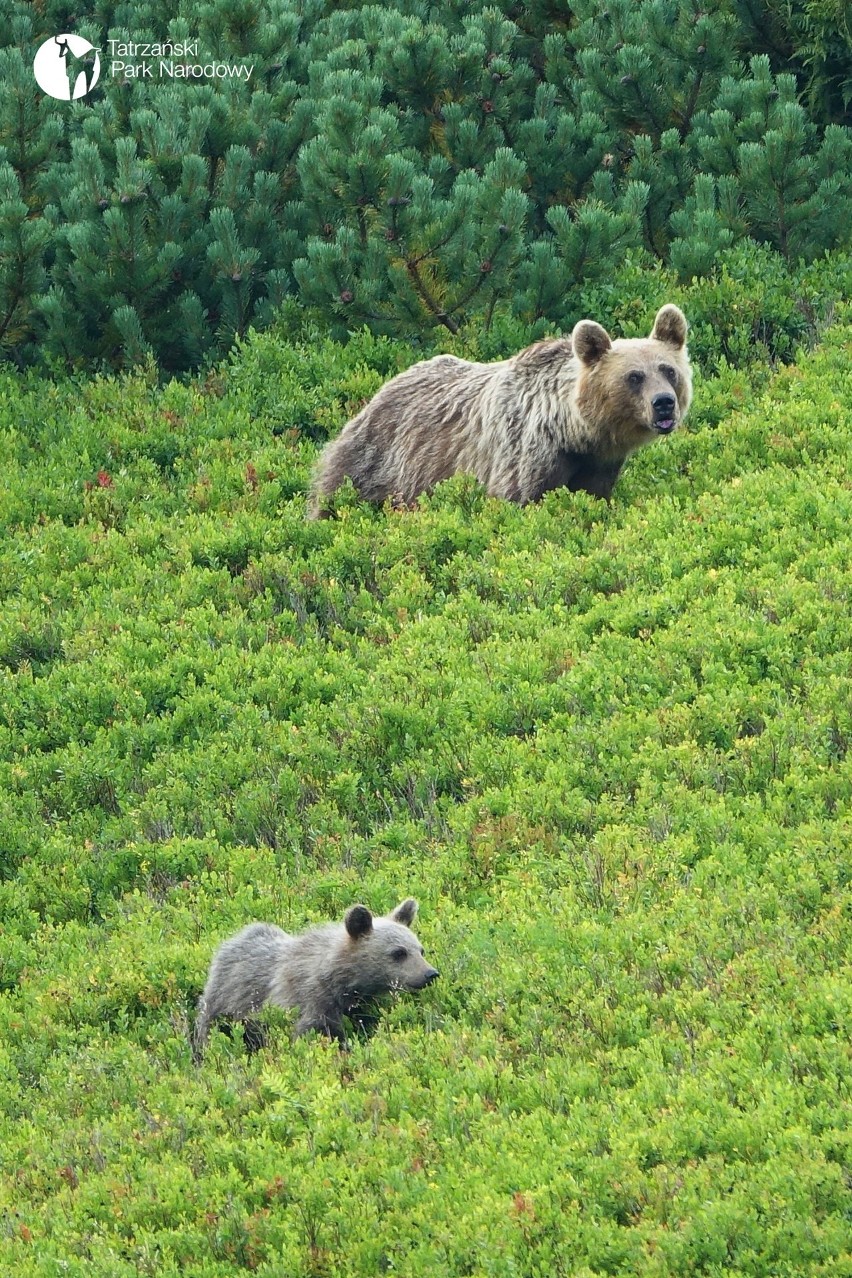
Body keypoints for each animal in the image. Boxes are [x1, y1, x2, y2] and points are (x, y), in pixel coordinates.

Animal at [192, 899, 439, 1058]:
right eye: (398, 952)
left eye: (420, 950)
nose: (430, 974)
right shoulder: (309, 1002)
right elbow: (315, 1034)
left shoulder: (362, 1004)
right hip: (224, 1007)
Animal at [307, 302, 694, 513]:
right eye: (634, 376)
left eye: (668, 370)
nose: (664, 404)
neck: (573, 432)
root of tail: (375, 395)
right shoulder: (525, 454)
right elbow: (519, 499)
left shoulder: (598, 464)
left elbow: (594, 497)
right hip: (375, 466)